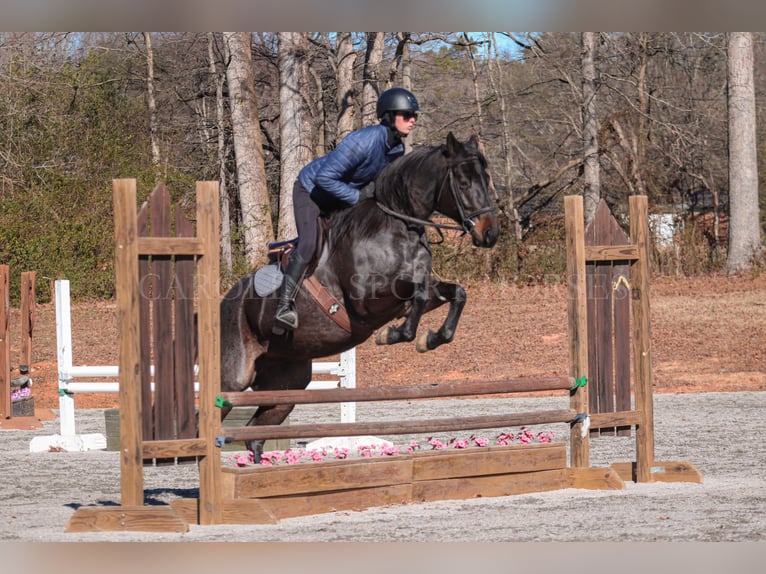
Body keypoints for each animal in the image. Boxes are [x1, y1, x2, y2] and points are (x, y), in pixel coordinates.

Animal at [219, 132, 500, 460]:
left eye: (487, 179)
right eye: (464, 183)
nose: (490, 234)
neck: (398, 227)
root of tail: (223, 302)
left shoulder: (418, 292)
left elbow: (456, 293)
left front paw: (429, 339)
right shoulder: (366, 302)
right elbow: (415, 295)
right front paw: (393, 335)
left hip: (286, 382)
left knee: (255, 435)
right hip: (233, 378)